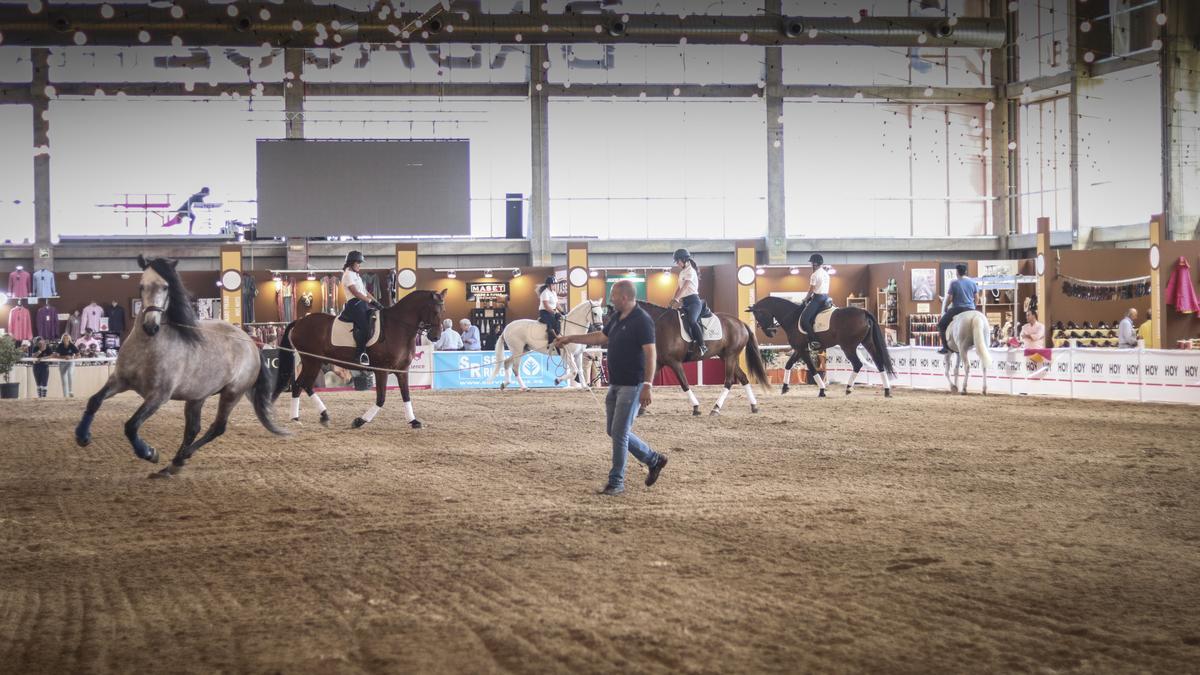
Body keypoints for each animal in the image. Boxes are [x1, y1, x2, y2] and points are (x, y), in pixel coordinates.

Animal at [74, 253, 285, 478]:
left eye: (166, 287)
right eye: (141, 286)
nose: (150, 326)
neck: (147, 347)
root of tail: (250, 343)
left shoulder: (158, 396)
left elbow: (131, 426)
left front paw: (149, 453)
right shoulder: (119, 381)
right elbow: (94, 401)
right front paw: (82, 436)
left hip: (232, 393)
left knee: (217, 427)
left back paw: (179, 459)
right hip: (197, 397)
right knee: (193, 428)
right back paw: (174, 463)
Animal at [272, 288, 446, 425]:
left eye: (442, 311)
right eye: (435, 312)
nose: (436, 337)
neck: (398, 327)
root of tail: (300, 321)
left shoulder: (402, 370)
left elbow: (406, 395)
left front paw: (413, 421)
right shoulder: (381, 370)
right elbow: (381, 399)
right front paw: (360, 421)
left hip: (315, 361)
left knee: (305, 385)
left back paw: (321, 415)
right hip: (312, 360)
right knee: (299, 384)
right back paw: (296, 418)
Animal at [628, 300, 768, 415]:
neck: (658, 325)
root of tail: (741, 323)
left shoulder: (674, 362)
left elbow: (684, 383)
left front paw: (696, 407)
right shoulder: (659, 362)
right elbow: (647, 383)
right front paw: (640, 409)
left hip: (730, 356)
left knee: (728, 381)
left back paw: (716, 408)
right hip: (726, 357)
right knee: (743, 378)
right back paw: (753, 406)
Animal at [744, 296, 897, 396]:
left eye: (759, 315)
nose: (771, 332)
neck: (792, 317)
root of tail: (863, 312)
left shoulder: (802, 350)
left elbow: (812, 369)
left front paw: (822, 390)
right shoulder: (799, 349)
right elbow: (788, 364)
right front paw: (785, 387)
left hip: (848, 346)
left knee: (858, 364)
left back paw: (848, 388)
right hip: (867, 343)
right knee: (878, 362)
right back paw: (887, 390)